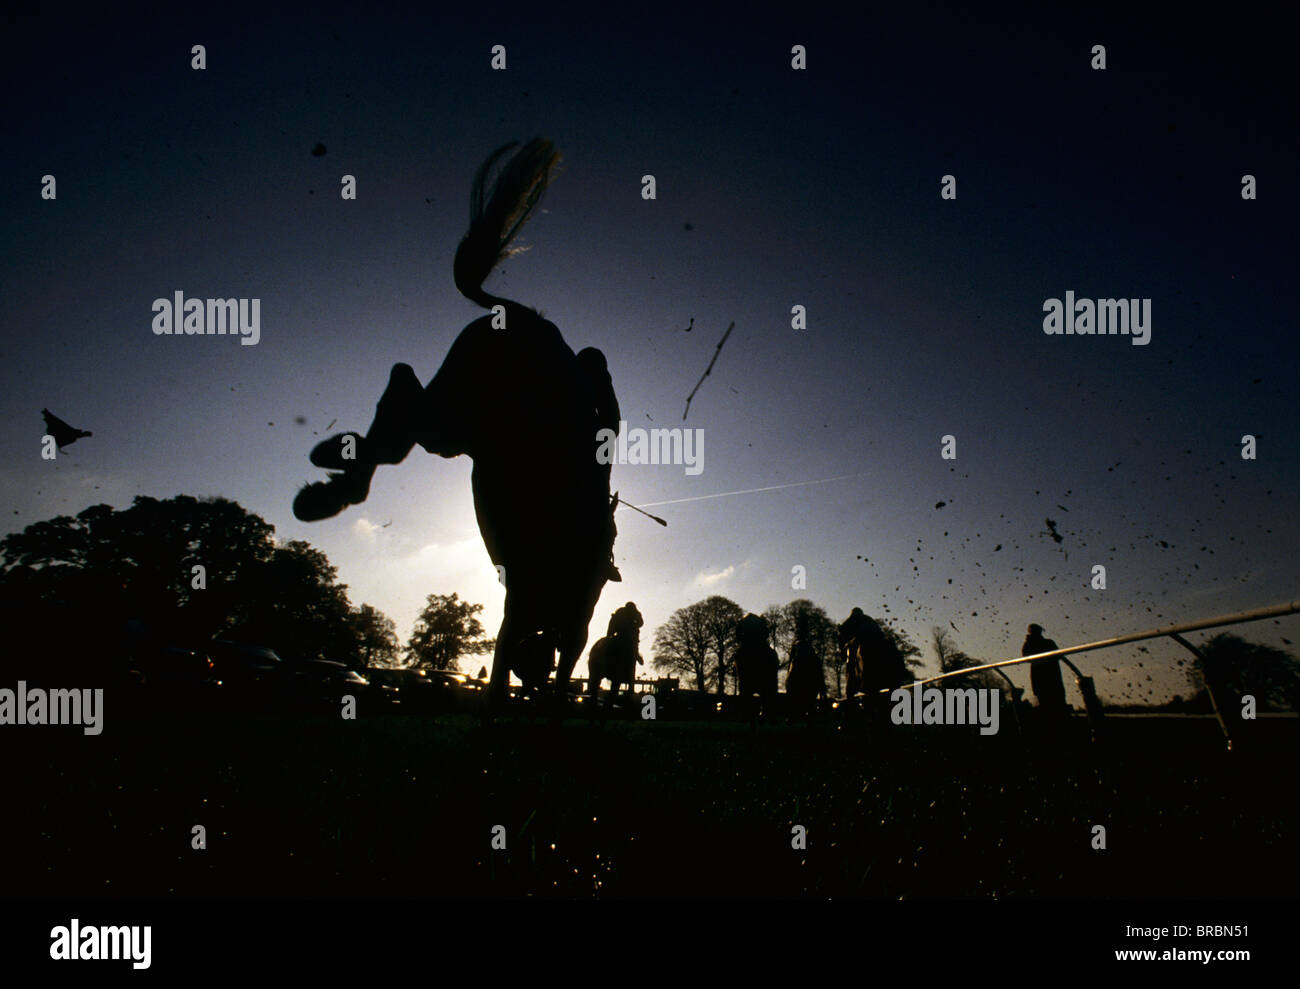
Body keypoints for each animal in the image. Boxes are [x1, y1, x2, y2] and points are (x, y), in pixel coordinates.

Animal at [295, 137, 618, 712]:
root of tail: (524, 317)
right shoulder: (526, 613)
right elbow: (510, 675)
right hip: (457, 420)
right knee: (401, 404)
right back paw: (332, 481)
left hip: (457, 421)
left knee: (401, 403)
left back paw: (332, 472)